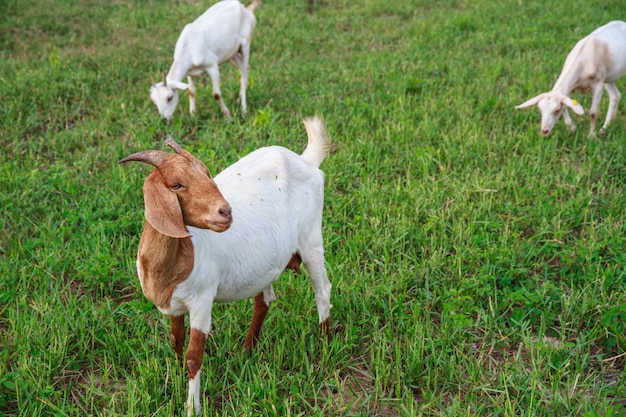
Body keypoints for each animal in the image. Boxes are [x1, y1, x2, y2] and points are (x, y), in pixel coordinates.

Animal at [118, 115, 332, 414]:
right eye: (176, 185)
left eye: (207, 174)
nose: (226, 212)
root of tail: (304, 160)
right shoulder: (175, 306)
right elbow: (176, 341)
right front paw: (174, 378)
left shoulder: (202, 299)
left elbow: (194, 356)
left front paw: (192, 408)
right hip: (264, 263)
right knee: (264, 299)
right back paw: (247, 350)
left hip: (311, 238)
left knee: (322, 289)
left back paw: (324, 343)